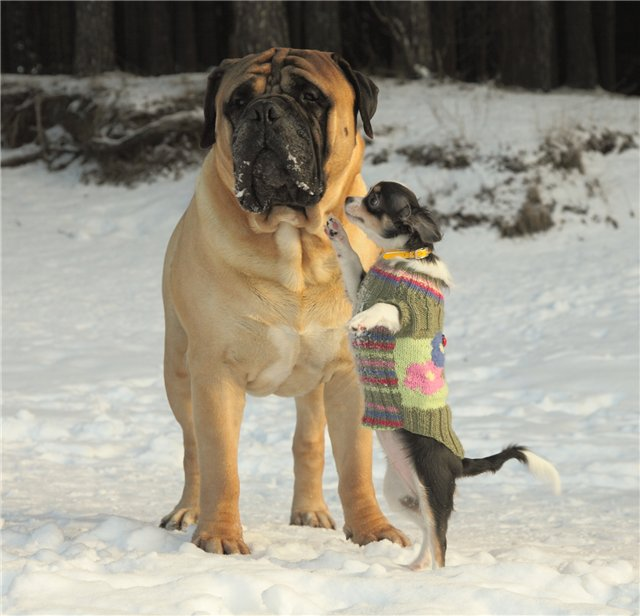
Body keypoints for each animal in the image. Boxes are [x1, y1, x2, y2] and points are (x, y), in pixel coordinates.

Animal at [161, 49, 410, 552]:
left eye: (310, 97)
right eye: (237, 102)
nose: (265, 112)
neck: (294, 244)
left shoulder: (347, 374)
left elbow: (355, 465)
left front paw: (373, 532)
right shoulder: (214, 369)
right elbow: (221, 464)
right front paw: (218, 537)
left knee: (308, 442)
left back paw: (310, 511)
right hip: (178, 367)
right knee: (193, 449)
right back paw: (187, 511)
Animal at [324, 182, 560, 568]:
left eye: (374, 199)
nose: (348, 200)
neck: (401, 258)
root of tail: (458, 462)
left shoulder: (403, 314)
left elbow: (383, 307)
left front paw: (360, 322)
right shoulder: (357, 287)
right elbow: (350, 258)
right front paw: (336, 232)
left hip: (433, 489)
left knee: (441, 541)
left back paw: (437, 575)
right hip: (401, 494)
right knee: (426, 531)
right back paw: (416, 568)